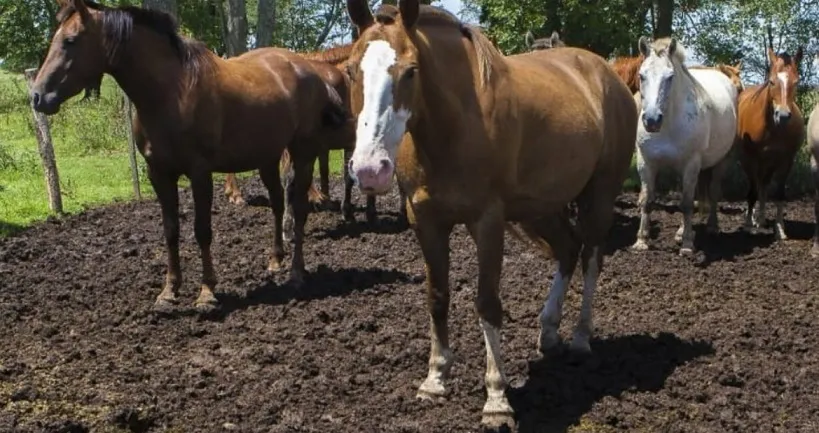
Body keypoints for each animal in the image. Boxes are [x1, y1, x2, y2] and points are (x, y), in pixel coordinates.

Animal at [30, 0, 352, 310]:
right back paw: (275, 261)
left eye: (70, 40)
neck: (170, 93)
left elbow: (202, 231)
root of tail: (310, 70)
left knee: (298, 208)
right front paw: (168, 292)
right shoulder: (159, 173)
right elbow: (171, 230)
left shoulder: (199, 173)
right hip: (268, 157)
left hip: (304, 153)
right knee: (276, 203)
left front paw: (206, 293)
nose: (37, 96)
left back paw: (297, 273)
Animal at [344, 0, 637, 427]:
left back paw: (581, 338)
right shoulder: (425, 221)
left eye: (411, 70)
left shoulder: (488, 222)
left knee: (591, 258)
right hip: (541, 207)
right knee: (568, 249)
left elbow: (487, 303)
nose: (370, 169)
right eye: (351, 70)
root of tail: (608, 76)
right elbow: (437, 296)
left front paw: (497, 399)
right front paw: (435, 380)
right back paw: (549, 332)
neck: (453, 127)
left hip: (597, 195)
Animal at [631, 37, 739, 255]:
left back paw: (711, 227)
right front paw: (641, 241)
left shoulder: (691, 163)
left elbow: (687, 204)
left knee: (713, 192)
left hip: (721, 161)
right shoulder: (646, 163)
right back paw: (681, 232)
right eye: (641, 75)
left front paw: (688, 246)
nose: (652, 120)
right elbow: (646, 200)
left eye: (670, 77)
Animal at [736, 47, 805, 241]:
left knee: (764, 185)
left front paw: (779, 228)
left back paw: (761, 219)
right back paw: (754, 219)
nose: (783, 116)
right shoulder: (750, 158)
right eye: (772, 82)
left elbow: (779, 193)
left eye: (796, 82)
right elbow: (752, 191)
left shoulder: (786, 160)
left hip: (769, 162)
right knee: (756, 186)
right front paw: (748, 224)